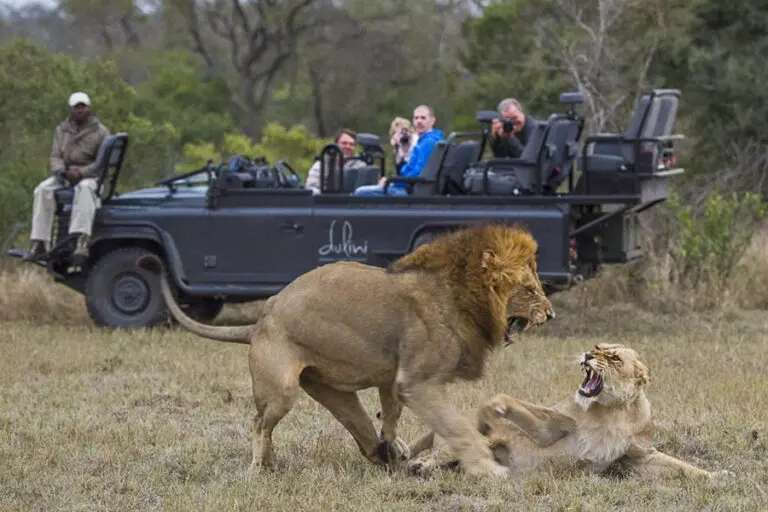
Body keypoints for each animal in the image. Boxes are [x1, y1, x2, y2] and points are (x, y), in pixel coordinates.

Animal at [136, 224, 555, 477]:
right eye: (530, 290)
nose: (550, 314)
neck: (461, 296)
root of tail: (261, 321)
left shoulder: (395, 377)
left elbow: (392, 412)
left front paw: (400, 443)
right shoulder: (418, 382)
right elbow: (457, 426)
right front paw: (489, 468)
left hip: (333, 392)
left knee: (363, 433)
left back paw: (388, 455)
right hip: (281, 390)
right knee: (259, 423)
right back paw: (259, 467)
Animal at [406, 343, 731, 481]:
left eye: (614, 357)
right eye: (596, 347)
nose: (587, 354)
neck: (615, 411)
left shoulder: (639, 458)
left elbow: (684, 467)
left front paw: (718, 475)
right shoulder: (550, 429)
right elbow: (508, 400)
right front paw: (490, 410)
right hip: (454, 445)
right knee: (436, 456)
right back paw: (418, 467)